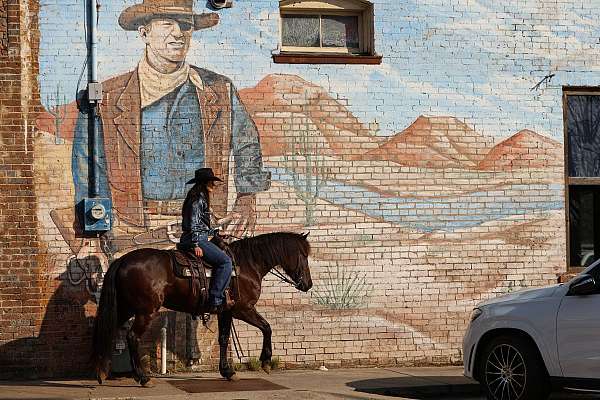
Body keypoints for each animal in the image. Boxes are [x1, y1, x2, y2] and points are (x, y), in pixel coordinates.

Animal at [92, 233, 314, 386]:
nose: (308, 284)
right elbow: (267, 327)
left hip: (127, 308)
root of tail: (123, 260)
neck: (246, 265)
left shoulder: (226, 311)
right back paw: (143, 378)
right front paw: (266, 362)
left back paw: (102, 370)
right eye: (303, 255)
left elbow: (224, 339)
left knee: (110, 329)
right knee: (132, 337)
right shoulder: (243, 309)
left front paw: (227, 372)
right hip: (145, 311)